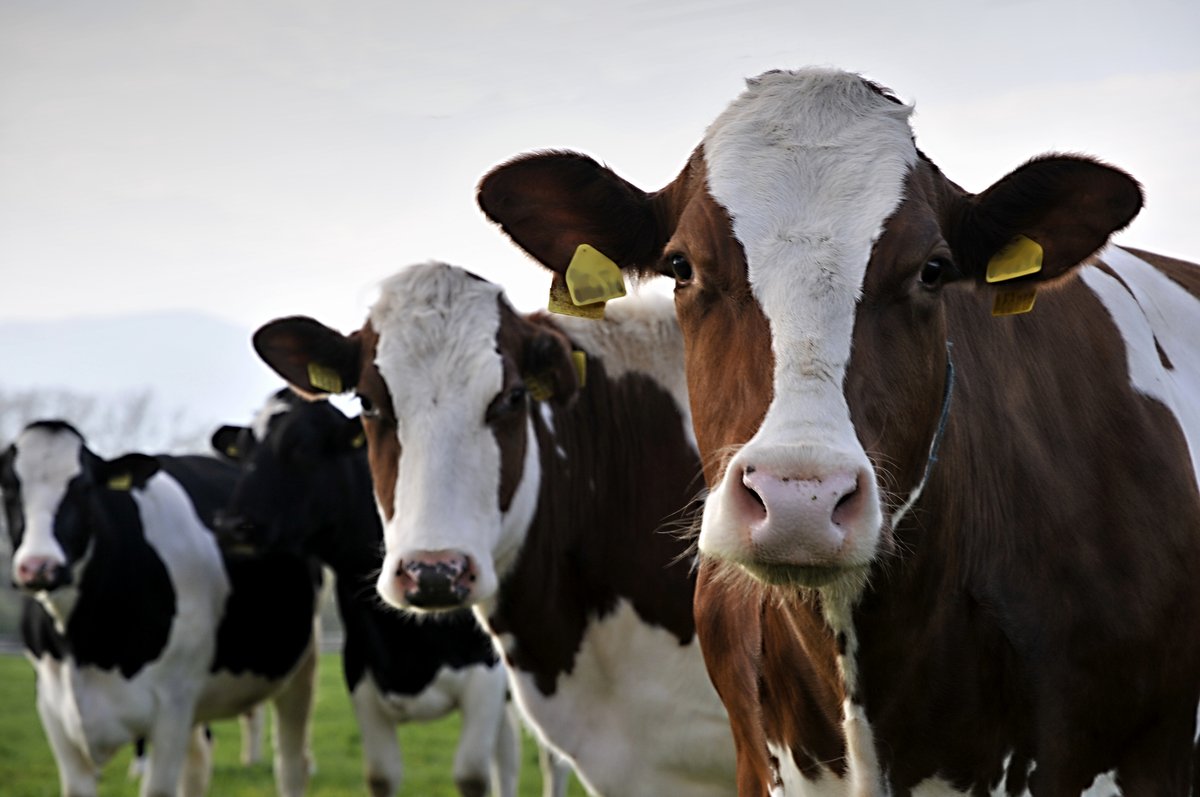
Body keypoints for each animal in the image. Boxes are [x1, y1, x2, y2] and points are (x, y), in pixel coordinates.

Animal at [1, 420, 320, 797]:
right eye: (8, 486)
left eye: (84, 488)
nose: (39, 567)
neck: (83, 644)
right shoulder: (53, 709)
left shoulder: (172, 706)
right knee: (198, 764)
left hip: (300, 667)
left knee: (290, 762)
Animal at [210, 389, 564, 797]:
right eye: (242, 451)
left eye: (301, 446)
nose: (232, 526)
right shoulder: (360, 676)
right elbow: (381, 775)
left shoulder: (485, 678)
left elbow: (471, 775)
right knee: (507, 754)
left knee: (551, 758)